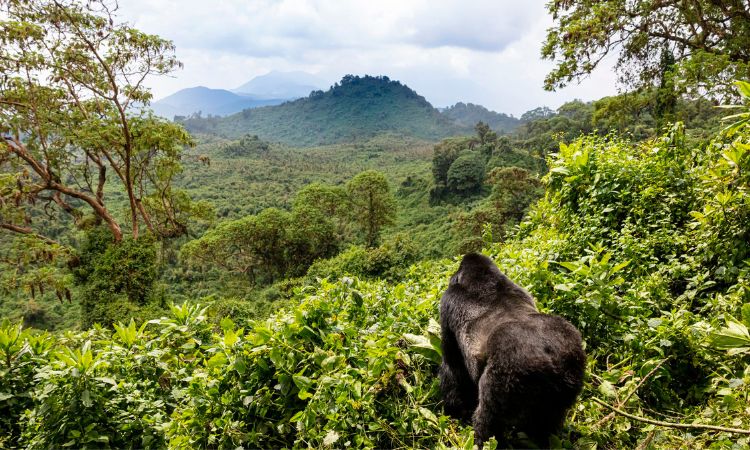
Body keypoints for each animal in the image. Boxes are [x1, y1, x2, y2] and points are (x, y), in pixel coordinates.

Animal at [439, 253, 585, 447]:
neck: (483, 279)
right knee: (547, 422)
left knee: (488, 422)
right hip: (571, 364)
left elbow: (452, 366)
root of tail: (552, 361)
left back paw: (483, 440)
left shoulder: (447, 302)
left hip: (508, 373)